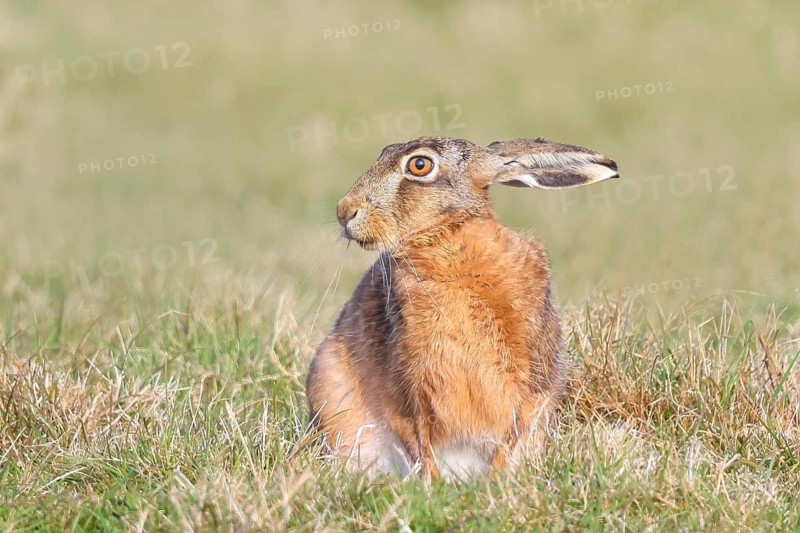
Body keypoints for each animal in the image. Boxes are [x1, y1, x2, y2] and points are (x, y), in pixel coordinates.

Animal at [306, 136, 618, 480]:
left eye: (419, 165)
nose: (345, 211)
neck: (448, 240)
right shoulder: (404, 380)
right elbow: (415, 432)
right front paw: (433, 482)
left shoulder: (534, 372)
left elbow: (515, 426)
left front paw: (495, 480)